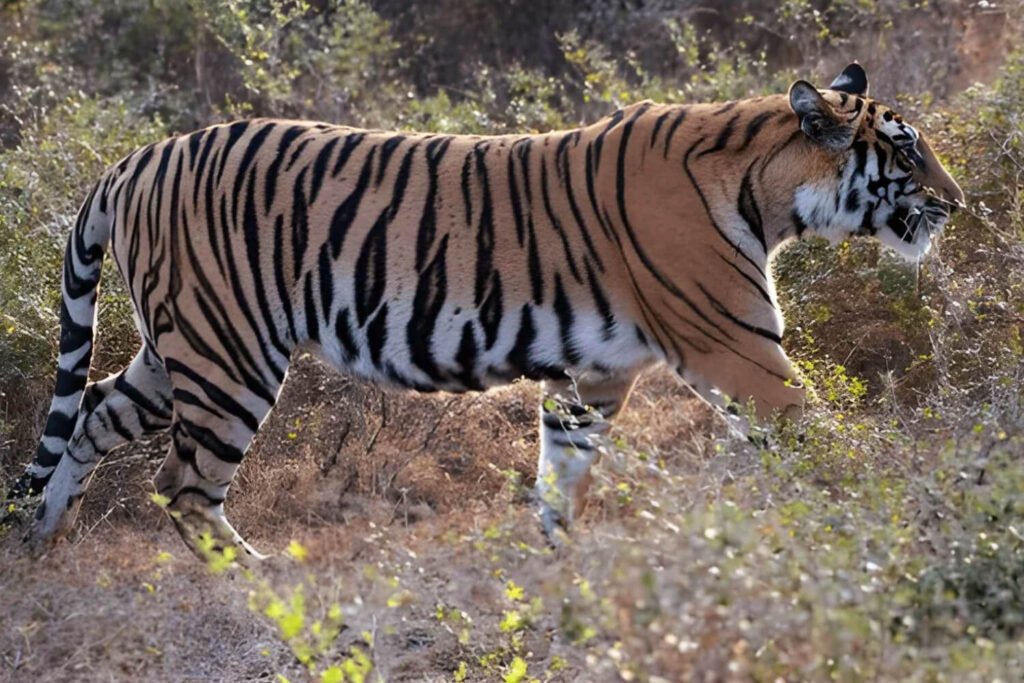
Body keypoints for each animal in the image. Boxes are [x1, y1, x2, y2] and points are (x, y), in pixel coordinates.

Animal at [11, 63, 963, 562]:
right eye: (905, 149)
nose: (955, 203)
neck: (768, 186)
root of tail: (133, 159)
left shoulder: (595, 372)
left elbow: (563, 467)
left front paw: (556, 558)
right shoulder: (740, 351)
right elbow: (827, 441)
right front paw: (894, 520)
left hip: (179, 349)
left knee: (90, 413)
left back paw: (42, 539)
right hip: (229, 357)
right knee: (182, 486)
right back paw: (257, 581)